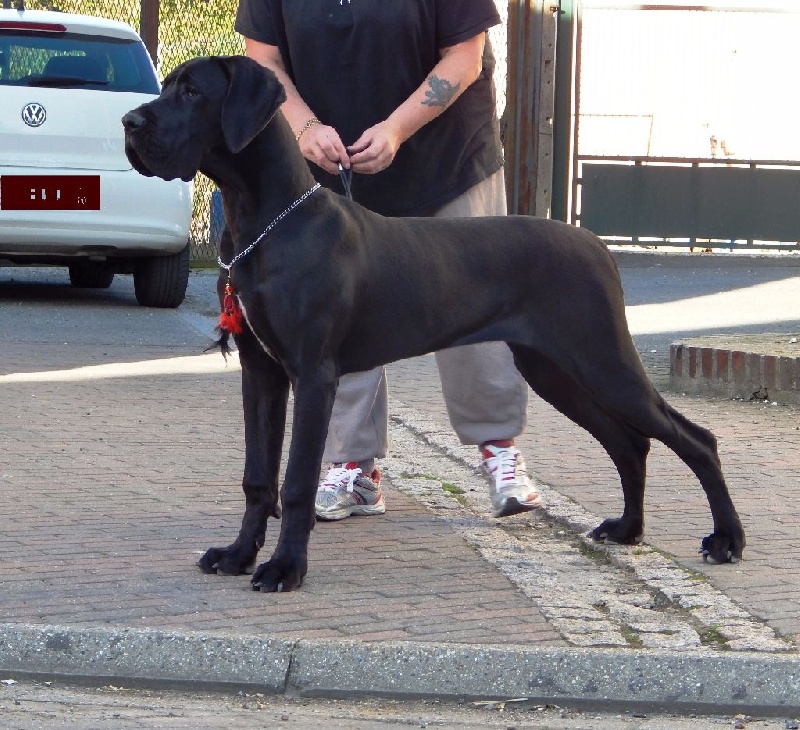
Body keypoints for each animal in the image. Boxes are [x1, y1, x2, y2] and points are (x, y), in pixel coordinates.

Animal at [122, 57, 748, 592]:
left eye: (192, 91)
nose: (129, 122)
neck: (268, 223)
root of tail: (596, 243)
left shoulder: (313, 374)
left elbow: (295, 480)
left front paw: (284, 568)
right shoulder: (261, 373)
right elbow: (257, 476)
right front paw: (237, 555)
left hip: (602, 359)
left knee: (694, 438)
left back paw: (726, 540)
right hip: (555, 369)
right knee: (630, 442)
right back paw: (629, 530)